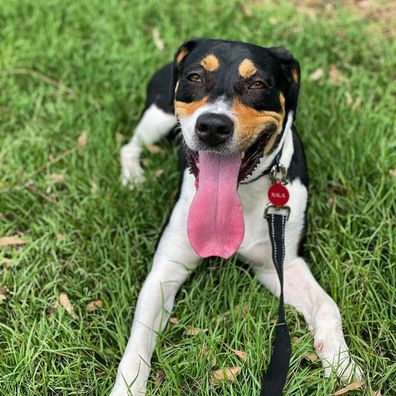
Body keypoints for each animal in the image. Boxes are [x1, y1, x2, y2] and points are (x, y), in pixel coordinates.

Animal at [110, 38, 362, 396]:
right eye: (195, 76)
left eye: (258, 84)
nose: (213, 126)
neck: (242, 193)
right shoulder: (165, 270)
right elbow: (138, 342)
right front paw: (127, 387)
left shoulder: (280, 265)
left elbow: (328, 305)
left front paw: (341, 363)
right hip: (157, 117)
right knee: (130, 145)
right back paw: (132, 176)